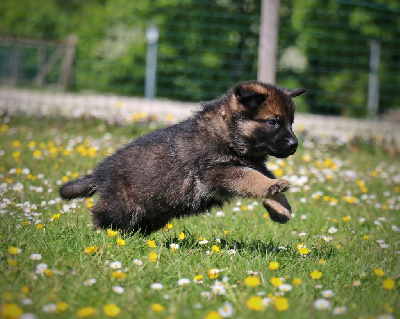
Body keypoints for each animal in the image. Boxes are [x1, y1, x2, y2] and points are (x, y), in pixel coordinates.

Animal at [59, 80, 304, 235]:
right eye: (273, 122)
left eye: (291, 123)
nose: (295, 145)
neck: (226, 134)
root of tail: (101, 174)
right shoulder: (217, 171)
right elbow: (251, 179)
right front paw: (273, 188)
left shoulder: (251, 164)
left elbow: (261, 176)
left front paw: (280, 207)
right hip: (123, 205)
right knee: (101, 215)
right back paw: (104, 236)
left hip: (155, 213)